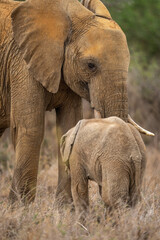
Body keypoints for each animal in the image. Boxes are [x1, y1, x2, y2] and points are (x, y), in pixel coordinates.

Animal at [0, 0, 152, 204]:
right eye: (90, 65)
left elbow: (68, 126)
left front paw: (65, 208)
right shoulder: (21, 64)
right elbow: (31, 129)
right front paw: (19, 208)